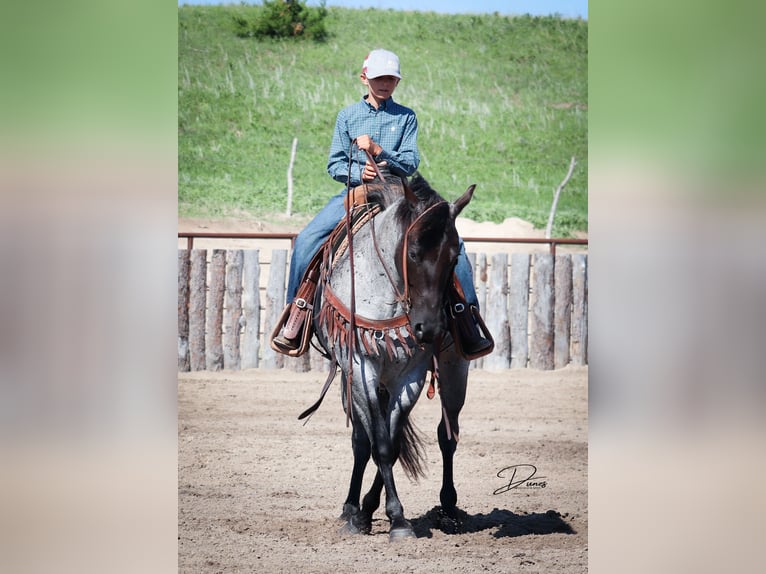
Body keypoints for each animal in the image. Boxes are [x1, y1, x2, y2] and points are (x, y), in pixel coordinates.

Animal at [308, 173, 476, 544]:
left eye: (454, 257)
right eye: (412, 252)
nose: (430, 328)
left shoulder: (412, 373)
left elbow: (392, 444)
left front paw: (392, 517)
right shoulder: (359, 367)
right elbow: (379, 444)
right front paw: (382, 517)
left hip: (455, 368)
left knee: (447, 434)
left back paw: (447, 509)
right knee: (362, 441)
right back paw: (354, 510)